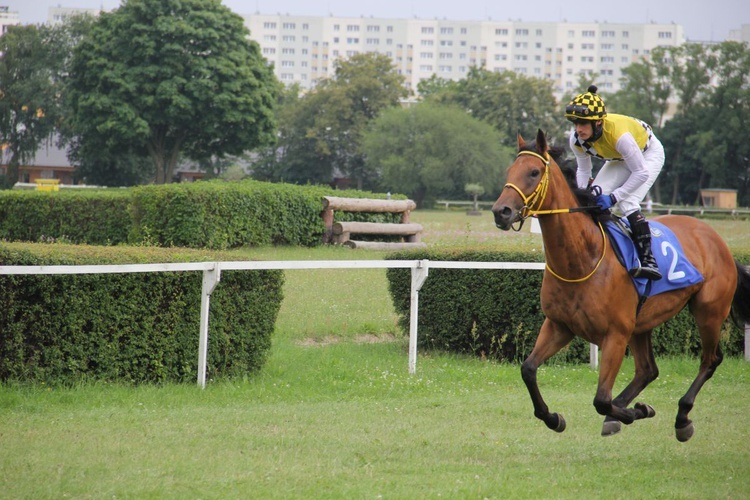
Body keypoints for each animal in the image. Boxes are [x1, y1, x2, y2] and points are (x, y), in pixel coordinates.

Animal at [494, 129, 750, 442]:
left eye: (533, 172)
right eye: (510, 171)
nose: (500, 211)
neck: (582, 259)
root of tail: (718, 241)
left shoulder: (615, 334)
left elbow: (601, 399)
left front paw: (638, 411)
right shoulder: (559, 326)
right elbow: (528, 369)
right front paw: (554, 418)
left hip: (708, 311)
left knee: (710, 360)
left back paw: (681, 418)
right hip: (641, 323)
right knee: (648, 370)